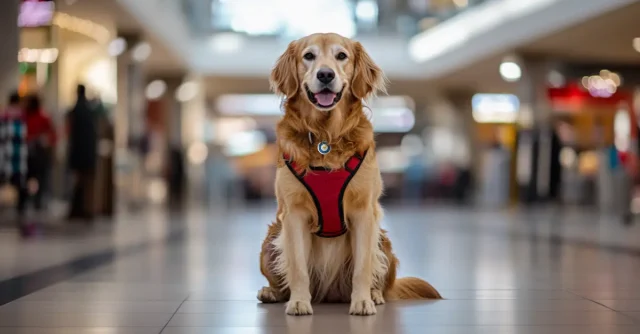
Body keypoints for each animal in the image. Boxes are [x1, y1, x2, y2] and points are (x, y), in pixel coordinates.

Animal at [258, 32, 442, 316]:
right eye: (308, 56)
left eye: (341, 56)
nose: (325, 75)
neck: (325, 137)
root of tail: (330, 293)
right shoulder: (293, 213)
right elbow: (297, 266)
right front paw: (299, 301)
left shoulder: (363, 211)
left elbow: (362, 267)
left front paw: (362, 301)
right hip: (271, 239)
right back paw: (272, 293)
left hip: (382, 241)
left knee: (380, 278)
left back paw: (375, 294)